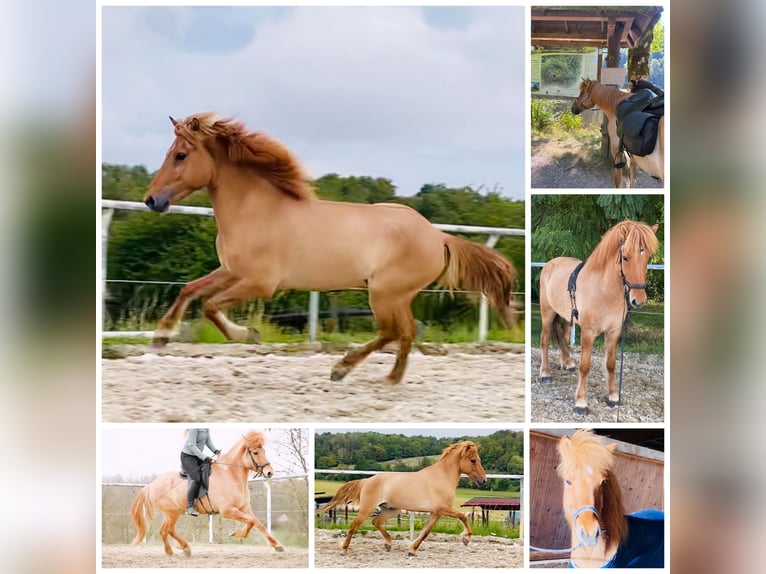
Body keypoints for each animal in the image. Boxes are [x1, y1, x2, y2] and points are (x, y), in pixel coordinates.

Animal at [129, 430, 284, 556]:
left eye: (264, 451)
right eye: (256, 453)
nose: (269, 472)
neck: (230, 475)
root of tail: (151, 485)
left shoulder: (244, 508)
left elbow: (258, 524)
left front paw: (277, 545)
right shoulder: (227, 510)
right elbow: (251, 522)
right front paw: (236, 533)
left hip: (173, 513)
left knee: (168, 530)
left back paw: (184, 548)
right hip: (171, 513)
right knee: (165, 530)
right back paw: (173, 551)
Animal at [143, 113, 519, 385]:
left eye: (180, 155)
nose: (151, 200)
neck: (255, 210)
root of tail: (438, 236)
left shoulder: (260, 283)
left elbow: (210, 305)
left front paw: (246, 333)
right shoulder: (232, 271)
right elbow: (190, 290)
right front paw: (161, 336)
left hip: (384, 293)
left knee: (392, 331)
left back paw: (343, 368)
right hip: (396, 295)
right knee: (405, 332)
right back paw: (390, 377)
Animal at [316, 441, 487, 556]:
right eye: (473, 460)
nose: (483, 480)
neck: (441, 477)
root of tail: (367, 481)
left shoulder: (435, 513)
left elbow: (426, 531)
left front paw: (412, 550)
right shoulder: (442, 509)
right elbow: (463, 516)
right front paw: (466, 539)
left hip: (391, 509)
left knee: (375, 521)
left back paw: (388, 544)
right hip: (367, 509)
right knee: (354, 525)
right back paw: (344, 549)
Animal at [538, 220, 659, 415]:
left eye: (647, 257)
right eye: (625, 257)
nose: (638, 300)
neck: (604, 290)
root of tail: (551, 263)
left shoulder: (614, 332)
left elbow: (610, 364)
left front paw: (613, 397)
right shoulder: (588, 333)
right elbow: (585, 366)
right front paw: (580, 403)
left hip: (567, 318)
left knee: (563, 335)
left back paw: (567, 363)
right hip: (547, 313)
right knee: (544, 340)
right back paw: (545, 374)